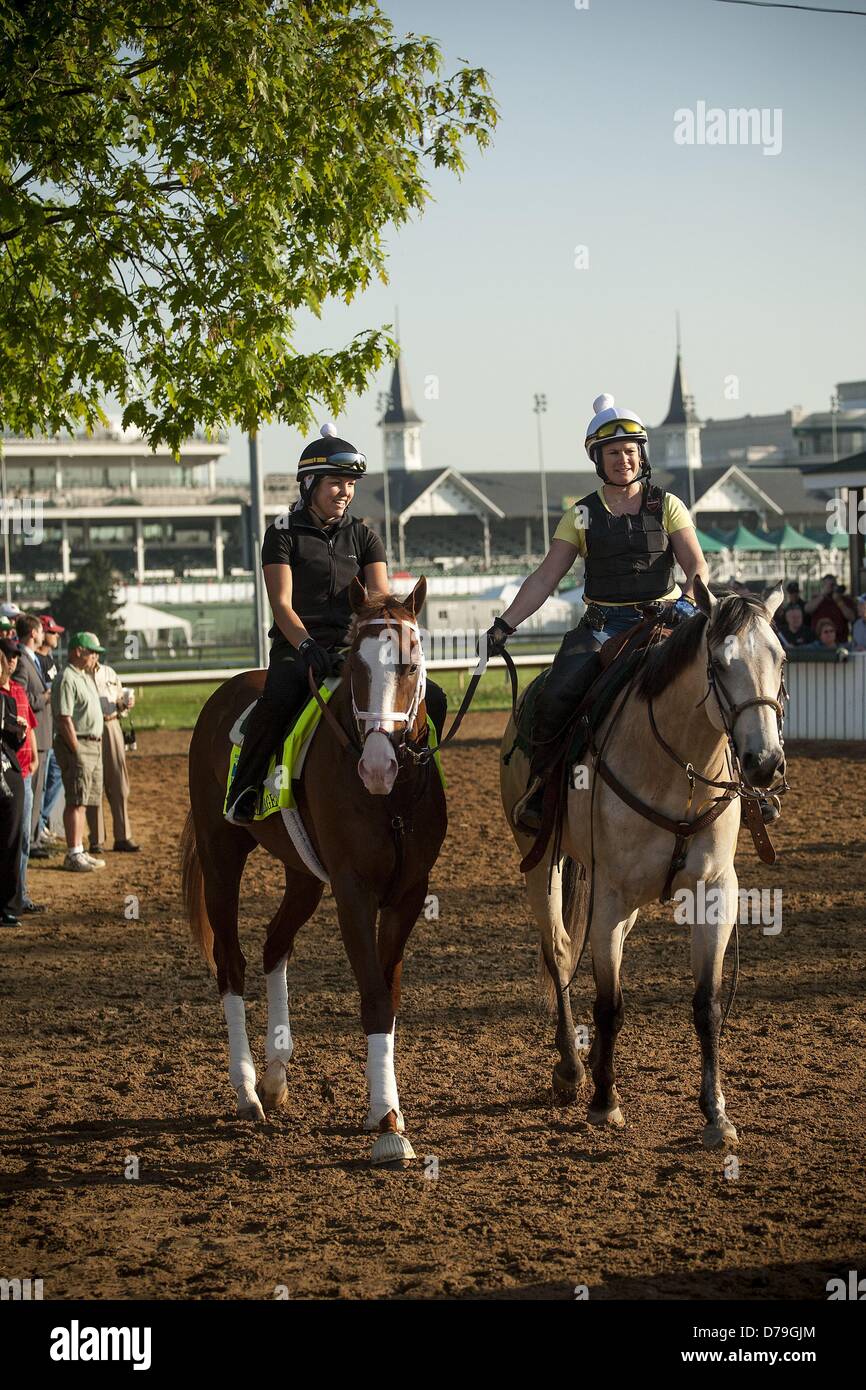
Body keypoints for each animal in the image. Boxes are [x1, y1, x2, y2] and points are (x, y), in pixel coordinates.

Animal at [177, 575, 447, 1162]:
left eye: (411, 663)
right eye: (356, 668)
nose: (377, 765)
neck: (391, 800)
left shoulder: (409, 893)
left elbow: (389, 995)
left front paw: (386, 1111)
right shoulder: (352, 891)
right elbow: (373, 997)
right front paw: (387, 1122)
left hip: (302, 877)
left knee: (274, 946)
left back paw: (276, 1076)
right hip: (221, 855)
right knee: (231, 964)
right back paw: (247, 1091)